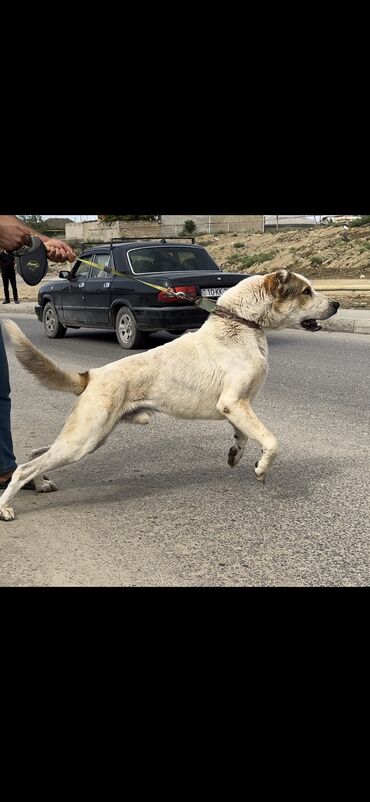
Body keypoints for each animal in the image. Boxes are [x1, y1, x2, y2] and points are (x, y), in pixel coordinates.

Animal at [1, 268, 340, 520]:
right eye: (306, 291)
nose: (336, 304)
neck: (241, 326)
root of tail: (92, 375)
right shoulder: (234, 403)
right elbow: (271, 441)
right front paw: (261, 468)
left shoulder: (238, 407)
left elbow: (244, 436)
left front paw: (237, 454)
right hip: (83, 440)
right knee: (25, 468)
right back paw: (6, 506)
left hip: (91, 437)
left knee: (35, 456)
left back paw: (40, 484)